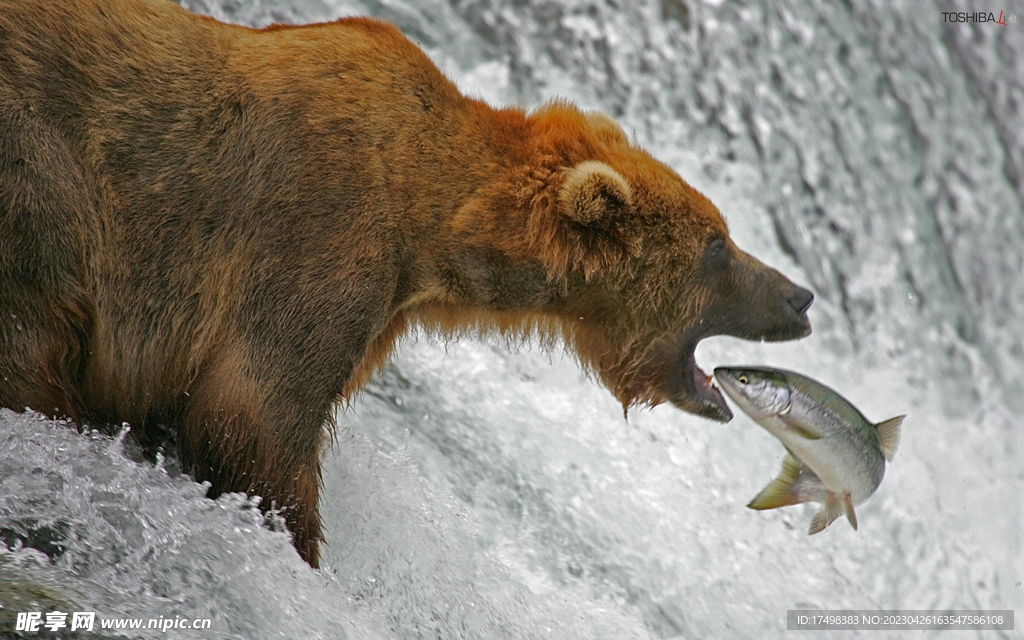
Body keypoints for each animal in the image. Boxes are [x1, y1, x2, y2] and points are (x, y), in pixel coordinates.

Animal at [2, 1, 815, 569]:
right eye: (718, 245)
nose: (800, 295)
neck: (427, 223)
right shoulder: (313, 235)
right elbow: (253, 414)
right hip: (44, 186)